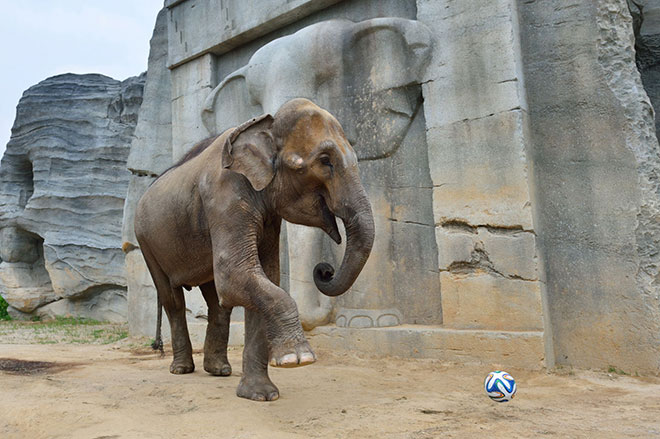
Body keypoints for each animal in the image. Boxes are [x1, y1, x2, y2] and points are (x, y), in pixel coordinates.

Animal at [134, 98, 374, 400]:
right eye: (325, 161)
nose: (325, 270)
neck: (263, 124)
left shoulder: (269, 216)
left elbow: (262, 277)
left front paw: (261, 395)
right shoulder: (224, 195)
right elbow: (238, 275)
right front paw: (298, 360)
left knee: (217, 301)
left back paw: (219, 370)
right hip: (146, 240)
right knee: (173, 300)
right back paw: (181, 370)